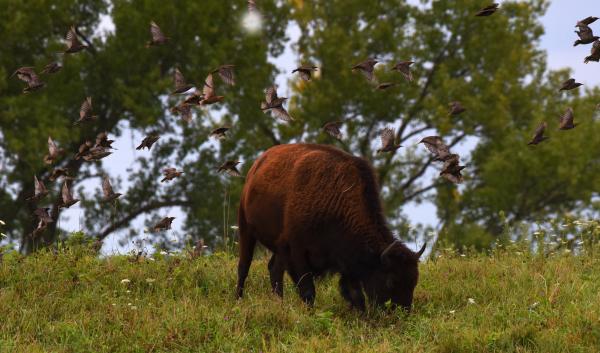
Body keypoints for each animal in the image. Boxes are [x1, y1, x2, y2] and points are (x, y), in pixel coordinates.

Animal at [236, 142, 426, 308]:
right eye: (391, 281)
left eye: (414, 281)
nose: (403, 311)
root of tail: (256, 166)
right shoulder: (297, 252)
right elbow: (308, 291)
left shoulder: (346, 262)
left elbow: (355, 295)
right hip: (246, 229)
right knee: (244, 267)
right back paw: (238, 300)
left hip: (277, 247)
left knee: (274, 269)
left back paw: (279, 303)